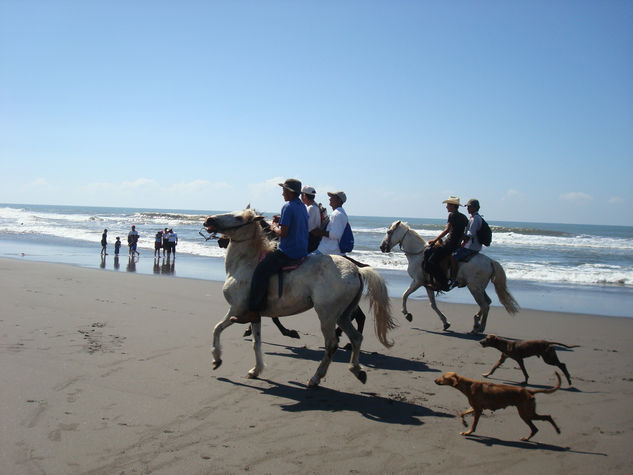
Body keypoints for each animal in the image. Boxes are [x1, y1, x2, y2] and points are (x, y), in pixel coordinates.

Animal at [202, 210, 396, 388]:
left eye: (238, 217)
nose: (209, 220)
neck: (246, 264)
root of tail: (357, 270)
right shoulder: (254, 315)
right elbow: (256, 343)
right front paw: (256, 370)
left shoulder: (237, 309)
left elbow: (216, 328)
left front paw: (216, 359)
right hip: (343, 315)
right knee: (356, 338)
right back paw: (357, 370)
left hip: (327, 315)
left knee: (332, 344)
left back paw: (316, 378)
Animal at [378, 220, 516, 334]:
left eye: (389, 232)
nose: (382, 247)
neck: (418, 255)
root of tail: (490, 262)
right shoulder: (427, 285)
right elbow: (433, 305)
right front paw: (445, 323)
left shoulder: (417, 281)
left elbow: (405, 295)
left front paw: (407, 314)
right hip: (479, 288)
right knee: (487, 303)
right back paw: (476, 323)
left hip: (474, 288)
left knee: (484, 305)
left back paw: (479, 327)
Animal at [432, 372, 560, 442]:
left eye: (443, 377)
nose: (434, 380)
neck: (468, 385)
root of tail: (528, 391)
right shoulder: (475, 407)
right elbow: (461, 413)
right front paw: (464, 424)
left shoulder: (478, 410)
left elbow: (474, 425)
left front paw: (469, 432)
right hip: (528, 412)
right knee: (541, 423)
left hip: (525, 413)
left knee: (543, 420)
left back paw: (556, 431)